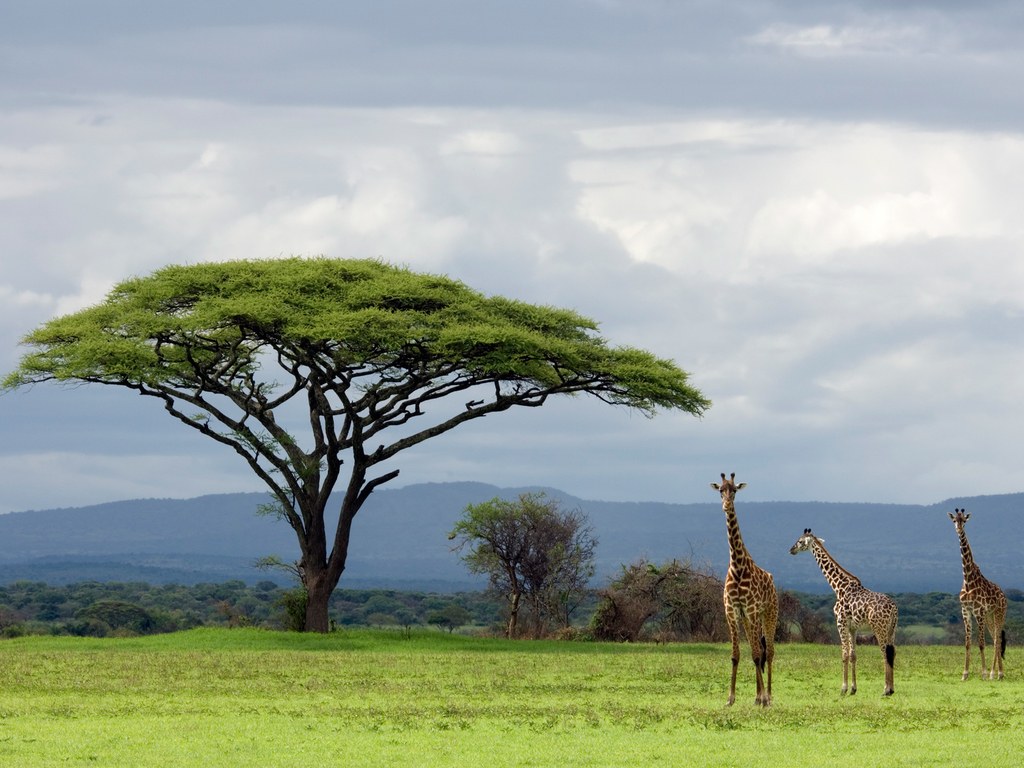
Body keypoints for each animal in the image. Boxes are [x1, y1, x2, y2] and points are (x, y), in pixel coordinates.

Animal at [712, 475, 774, 708]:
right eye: (720, 490)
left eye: (735, 490)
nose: (726, 505)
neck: (738, 566)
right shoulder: (732, 611)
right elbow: (736, 655)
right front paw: (730, 698)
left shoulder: (753, 610)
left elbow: (757, 655)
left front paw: (764, 698)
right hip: (748, 619)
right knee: (758, 650)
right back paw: (757, 696)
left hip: (769, 614)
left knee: (769, 652)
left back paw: (769, 696)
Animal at [786, 528, 892, 696]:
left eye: (800, 541)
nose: (791, 550)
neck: (838, 587)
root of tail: (894, 607)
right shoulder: (853, 627)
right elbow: (853, 655)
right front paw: (853, 689)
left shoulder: (840, 622)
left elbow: (844, 654)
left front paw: (843, 688)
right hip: (891, 629)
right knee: (892, 652)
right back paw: (891, 689)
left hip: (879, 628)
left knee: (885, 653)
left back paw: (885, 689)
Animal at [946, 507, 1003, 684]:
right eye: (954, 520)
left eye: (964, 520)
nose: (959, 529)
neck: (968, 579)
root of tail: (1004, 594)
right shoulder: (966, 611)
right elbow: (967, 643)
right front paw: (964, 674)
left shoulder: (979, 612)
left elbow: (981, 643)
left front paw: (983, 674)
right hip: (990, 616)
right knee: (996, 639)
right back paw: (997, 673)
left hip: (998, 613)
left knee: (997, 640)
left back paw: (997, 673)